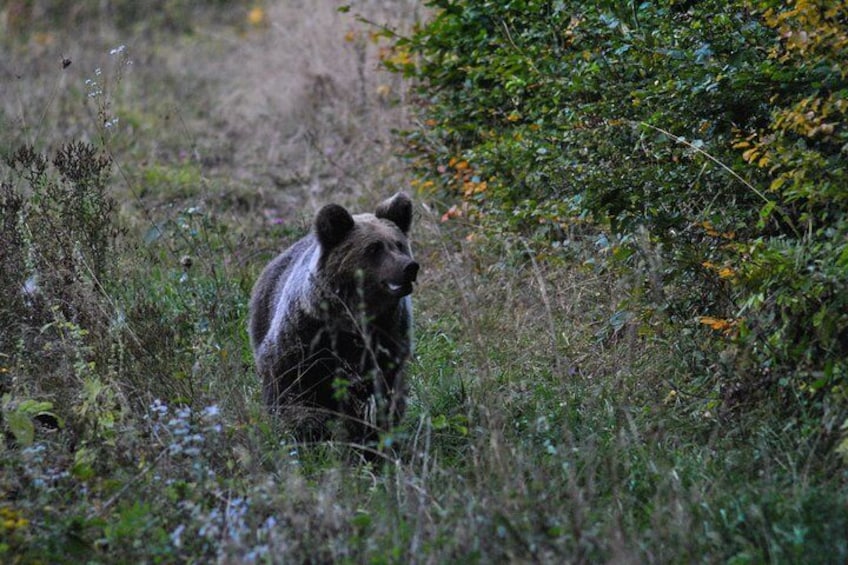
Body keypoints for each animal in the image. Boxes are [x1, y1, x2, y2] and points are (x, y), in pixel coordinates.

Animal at [248, 192, 420, 442]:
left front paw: (371, 432)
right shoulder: (305, 334)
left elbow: (379, 394)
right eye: (374, 248)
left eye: (399, 244)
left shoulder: (386, 335)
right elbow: (288, 384)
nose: (410, 267)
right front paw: (303, 428)